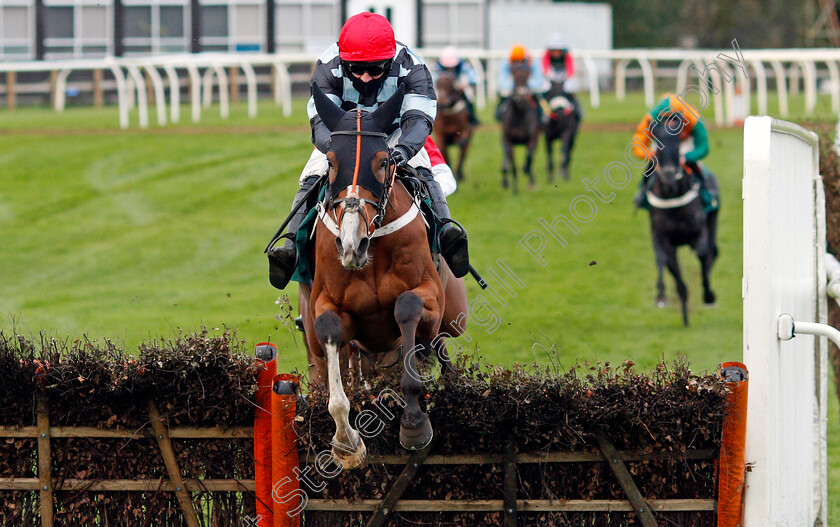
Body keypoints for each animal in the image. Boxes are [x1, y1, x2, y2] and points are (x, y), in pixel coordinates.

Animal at [296, 81, 470, 470]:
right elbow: (330, 336)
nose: (351, 243)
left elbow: (406, 306)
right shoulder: (326, 306)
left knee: (437, 348)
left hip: (452, 314)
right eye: (331, 162)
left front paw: (415, 425)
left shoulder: (429, 297)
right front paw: (346, 443)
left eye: (383, 161)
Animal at [502, 63, 540, 193]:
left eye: (527, 78)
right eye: (514, 79)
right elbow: (512, 165)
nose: (519, 98)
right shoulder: (509, 141)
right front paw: (515, 189)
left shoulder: (533, 138)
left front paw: (526, 170)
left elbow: (529, 157)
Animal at [644, 120, 716, 326]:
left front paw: (709, 296)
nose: (669, 180)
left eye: (677, 146)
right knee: (660, 261)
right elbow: (676, 276)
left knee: (711, 253)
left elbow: (703, 256)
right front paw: (683, 312)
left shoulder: (699, 234)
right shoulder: (666, 242)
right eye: (657, 148)